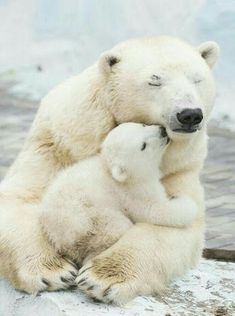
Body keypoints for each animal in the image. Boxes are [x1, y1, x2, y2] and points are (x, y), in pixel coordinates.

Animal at [0, 35, 218, 302]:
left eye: (197, 79)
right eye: (154, 80)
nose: (189, 114)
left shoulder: (178, 167)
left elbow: (174, 224)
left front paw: (102, 278)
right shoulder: (58, 145)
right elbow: (19, 198)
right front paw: (51, 270)